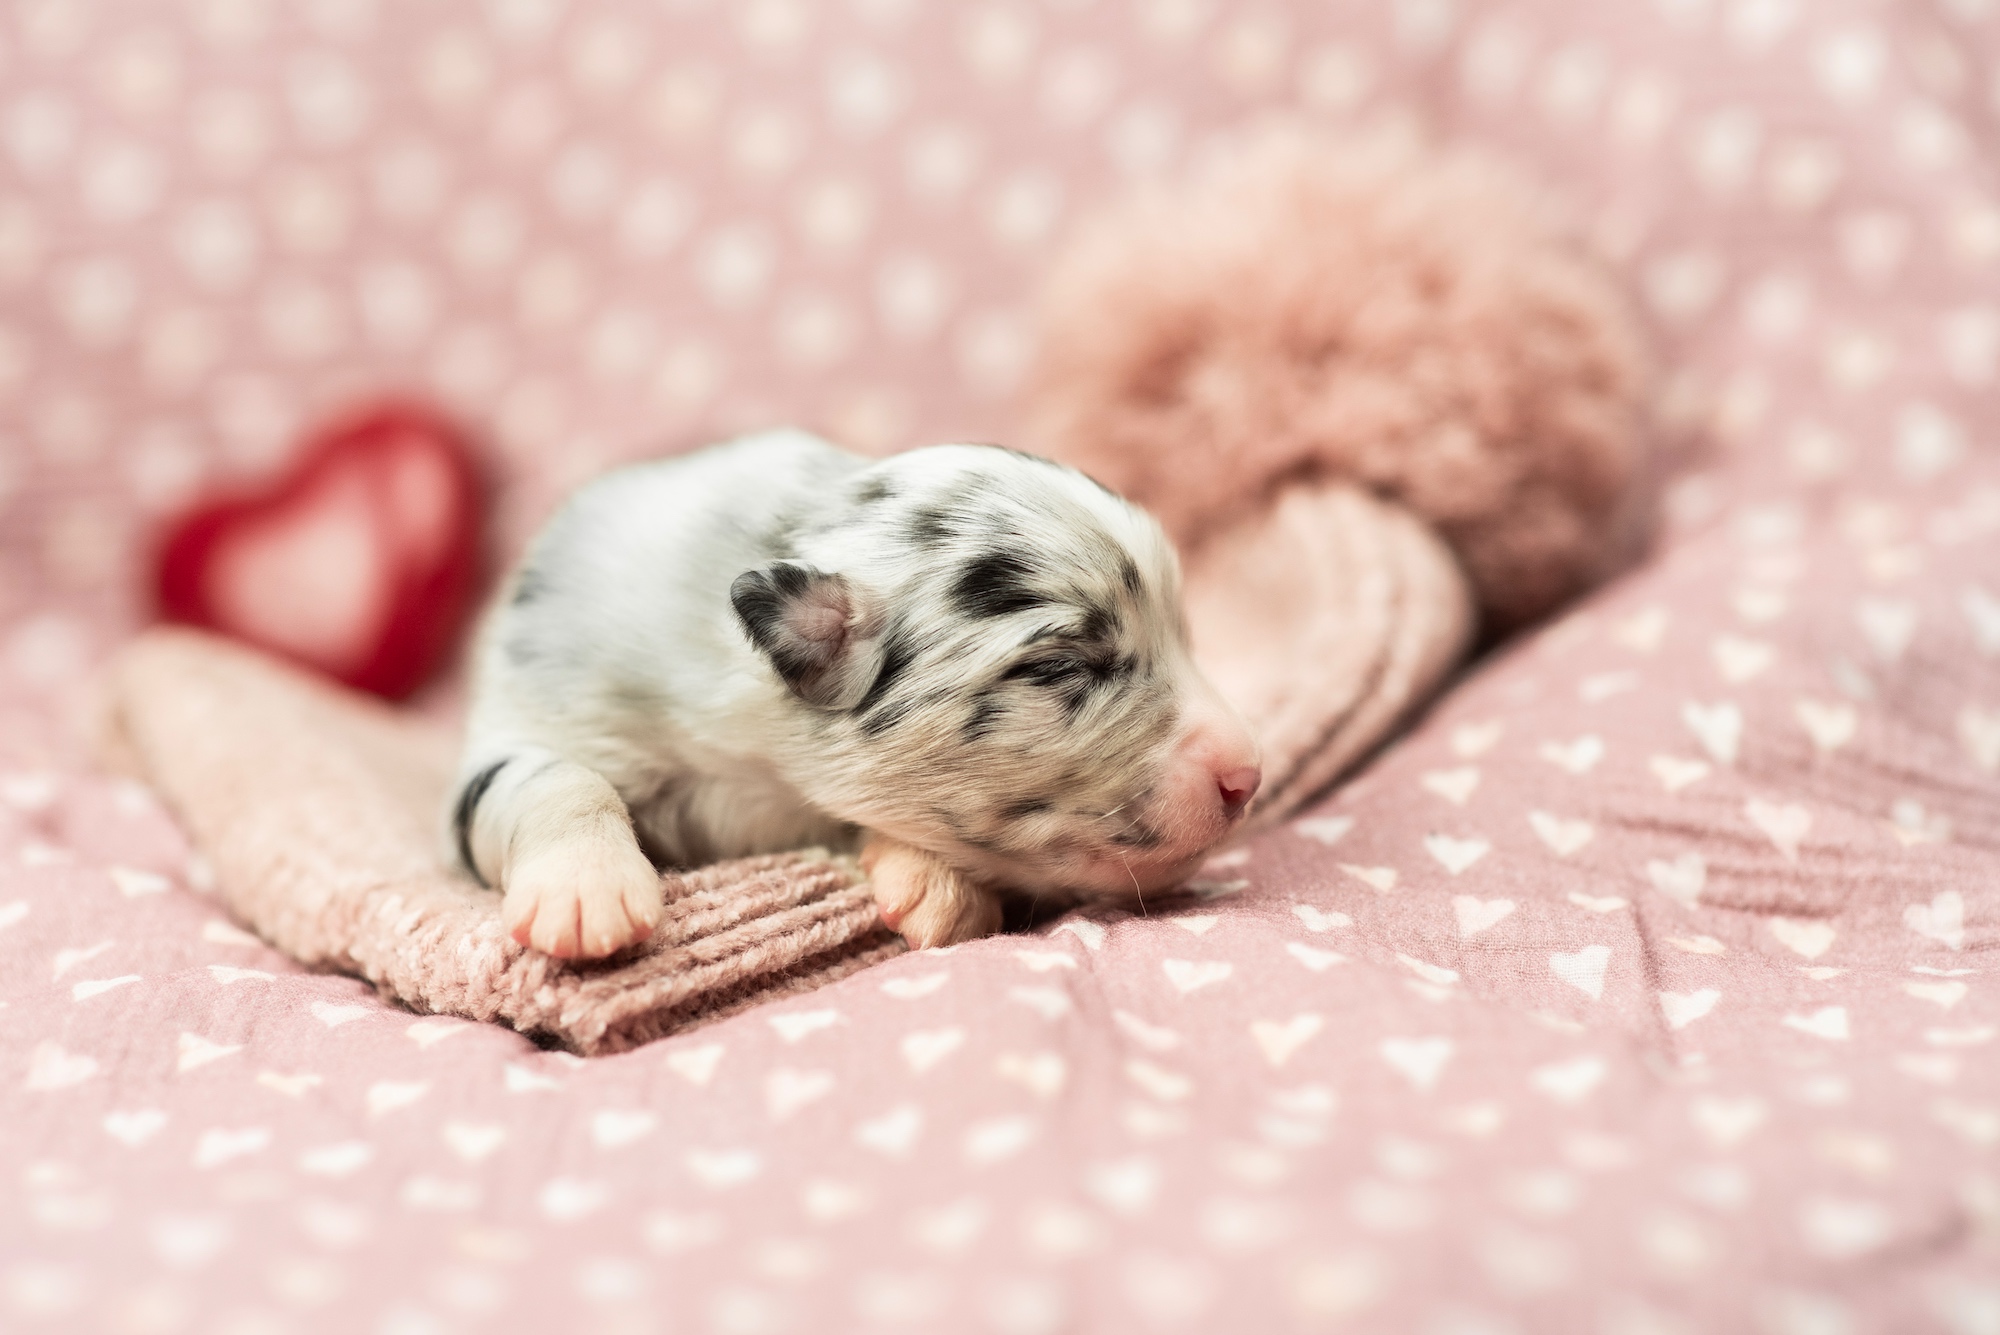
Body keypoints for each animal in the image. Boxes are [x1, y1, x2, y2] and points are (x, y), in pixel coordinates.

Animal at [449, 429, 1261, 957]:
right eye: (1067, 668)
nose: (1248, 775)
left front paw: (933, 882)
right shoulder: (534, 715)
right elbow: (552, 777)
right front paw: (586, 890)